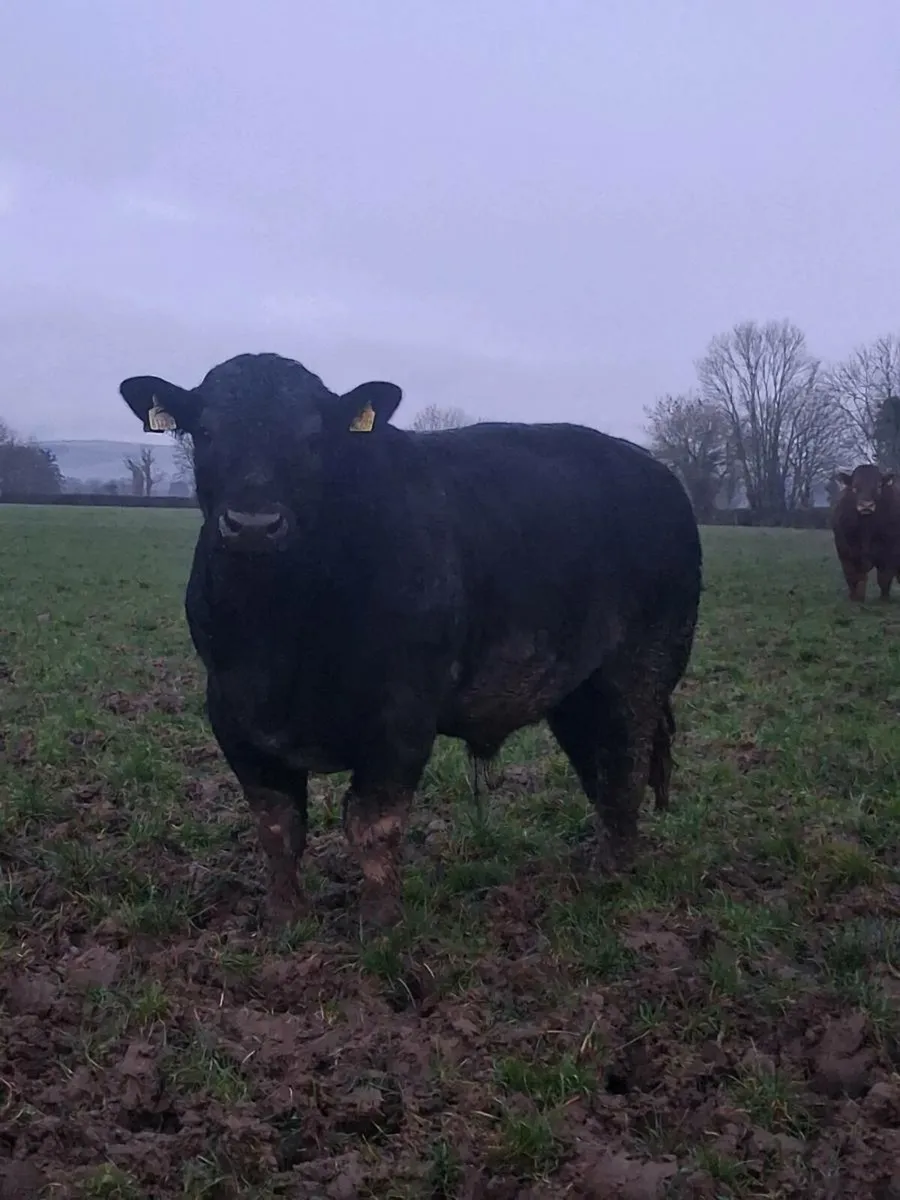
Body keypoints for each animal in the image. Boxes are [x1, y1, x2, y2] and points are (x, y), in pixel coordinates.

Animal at [119, 353, 702, 930]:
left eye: (312, 437)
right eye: (206, 431)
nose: (255, 524)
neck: (285, 632)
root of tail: (658, 473)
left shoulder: (402, 716)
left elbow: (374, 824)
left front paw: (379, 923)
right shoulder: (233, 713)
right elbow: (277, 825)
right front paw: (284, 918)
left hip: (641, 668)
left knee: (625, 764)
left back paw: (611, 875)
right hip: (575, 686)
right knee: (598, 766)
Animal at [832, 464, 900, 602]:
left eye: (879, 486)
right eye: (854, 487)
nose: (866, 505)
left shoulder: (891, 552)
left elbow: (884, 577)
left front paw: (884, 599)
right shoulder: (845, 551)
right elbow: (854, 577)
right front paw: (855, 599)